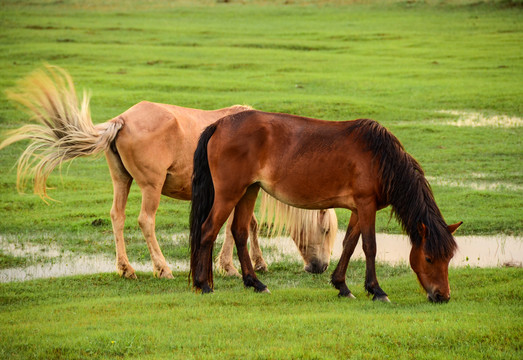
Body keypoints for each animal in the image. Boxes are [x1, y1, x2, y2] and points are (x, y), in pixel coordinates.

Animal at [0, 65, 336, 278]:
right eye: (327, 231)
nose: (319, 268)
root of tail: (122, 119)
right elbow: (236, 226)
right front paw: (230, 266)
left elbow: (247, 224)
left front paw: (256, 263)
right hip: (151, 186)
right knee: (145, 221)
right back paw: (162, 268)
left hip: (121, 180)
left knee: (117, 217)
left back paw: (127, 269)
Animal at [190, 111, 464, 302]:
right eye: (428, 258)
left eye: (448, 258)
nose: (443, 296)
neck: (381, 158)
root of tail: (220, 124)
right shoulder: (366, 205)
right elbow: (370, 246)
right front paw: (376, 290)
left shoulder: (358, 209)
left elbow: (350, 245)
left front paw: (342, 286)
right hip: (229, 194)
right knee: (208, 230)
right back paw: (204, 284)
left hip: (249, 190)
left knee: (239, 232)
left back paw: (255, 283)